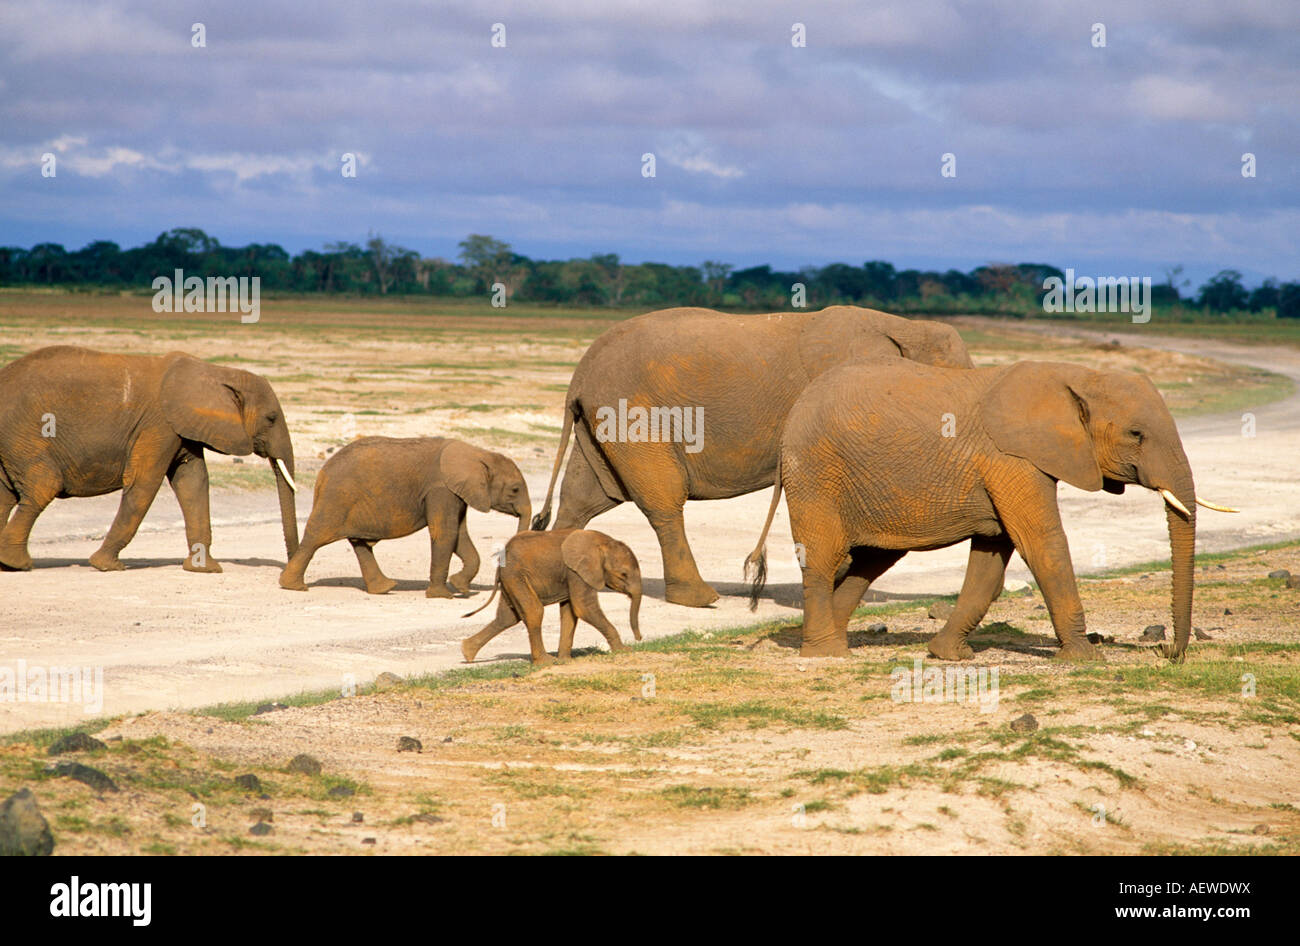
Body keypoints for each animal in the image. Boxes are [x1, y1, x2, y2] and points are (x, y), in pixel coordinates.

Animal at [0, 345, 297, 569]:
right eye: (271, 418)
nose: (289, 570)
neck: (214, 372)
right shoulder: (158, 425)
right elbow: (144, 484)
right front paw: (106, 566)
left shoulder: (181, 428)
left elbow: (193, 483)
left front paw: (206, 569)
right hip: (23, 434)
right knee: (43, 485)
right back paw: (17, 563)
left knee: (6, 495)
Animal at [282, 431, 530, 595]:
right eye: (515, 490)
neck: (478, 454)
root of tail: (322, 474)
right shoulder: (440, 489)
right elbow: (446, 533)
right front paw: (442, 595)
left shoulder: (456, 493)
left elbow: (459, 536)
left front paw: (460, 586)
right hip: (337, 498)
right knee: (316, 537)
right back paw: (293, 587)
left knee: (359, 543)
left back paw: (385, 588)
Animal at [460, 527, 642, 670]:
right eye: (623, 574)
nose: (639, 639)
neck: (603, 542)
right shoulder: (576, 572)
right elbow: (584, 607)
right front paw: (624, 650)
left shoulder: (572, 574)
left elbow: (570, 612)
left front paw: (566, 661)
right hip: (516, 576)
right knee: (534, 611)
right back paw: (546, 662)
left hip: (510, 580)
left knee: (507, 618)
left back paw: (467, 652)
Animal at [530, 306, 977, 610]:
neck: (904, 325)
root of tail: (580, 373)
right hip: (634, 415)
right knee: (661, 500)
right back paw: (702, 599)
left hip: (603, 421)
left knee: (585, 496)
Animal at [748, 358, 1232, 662]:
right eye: (1136, 434)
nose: (1165, 651)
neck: (1076, 374)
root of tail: (793, 412)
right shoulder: (1011, 460)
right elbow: (1043, 544)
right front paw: (1087, 657)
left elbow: (992, 558)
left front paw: (948, 655)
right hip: (816, 470)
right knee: (824, 556)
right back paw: (826, 652)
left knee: (872, 560)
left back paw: (831, 639)